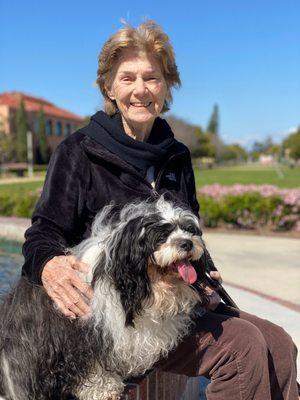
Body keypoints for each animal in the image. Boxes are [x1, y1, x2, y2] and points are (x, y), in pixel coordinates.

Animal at [0, 198, 206, 400]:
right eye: (162, 235)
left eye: (188, 230)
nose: (187, 243)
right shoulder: (86, 334)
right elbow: (94, 366)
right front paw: (105, 388)